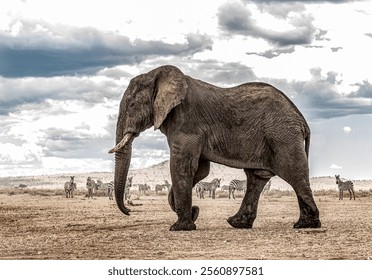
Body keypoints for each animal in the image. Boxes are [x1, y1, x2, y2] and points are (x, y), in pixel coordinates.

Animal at [107, 64, 320, 231]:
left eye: (132, 105)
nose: (129, 210)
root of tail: (302, 121)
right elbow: (199, 170)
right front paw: (190, 216)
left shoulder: (187, 124)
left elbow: (182, 166)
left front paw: (180, 227)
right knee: (256, 178)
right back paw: (238, 223)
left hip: (283, 136)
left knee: (294, 174)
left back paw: (306, 225)